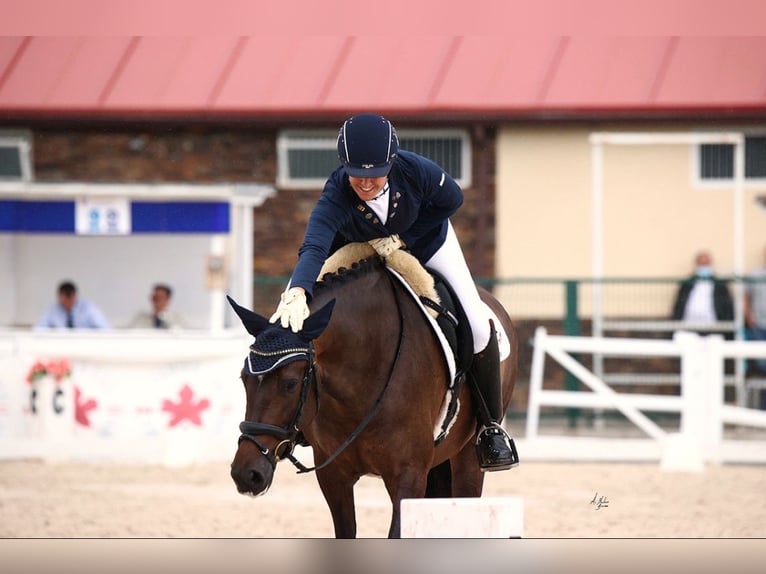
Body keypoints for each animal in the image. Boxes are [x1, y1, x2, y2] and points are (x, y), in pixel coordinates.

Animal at [228, 254, 516, 536]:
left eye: (290, 383)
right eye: (244, 379)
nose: (247, 474)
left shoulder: (408, 476)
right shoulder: (334, 478)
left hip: (467, 455)